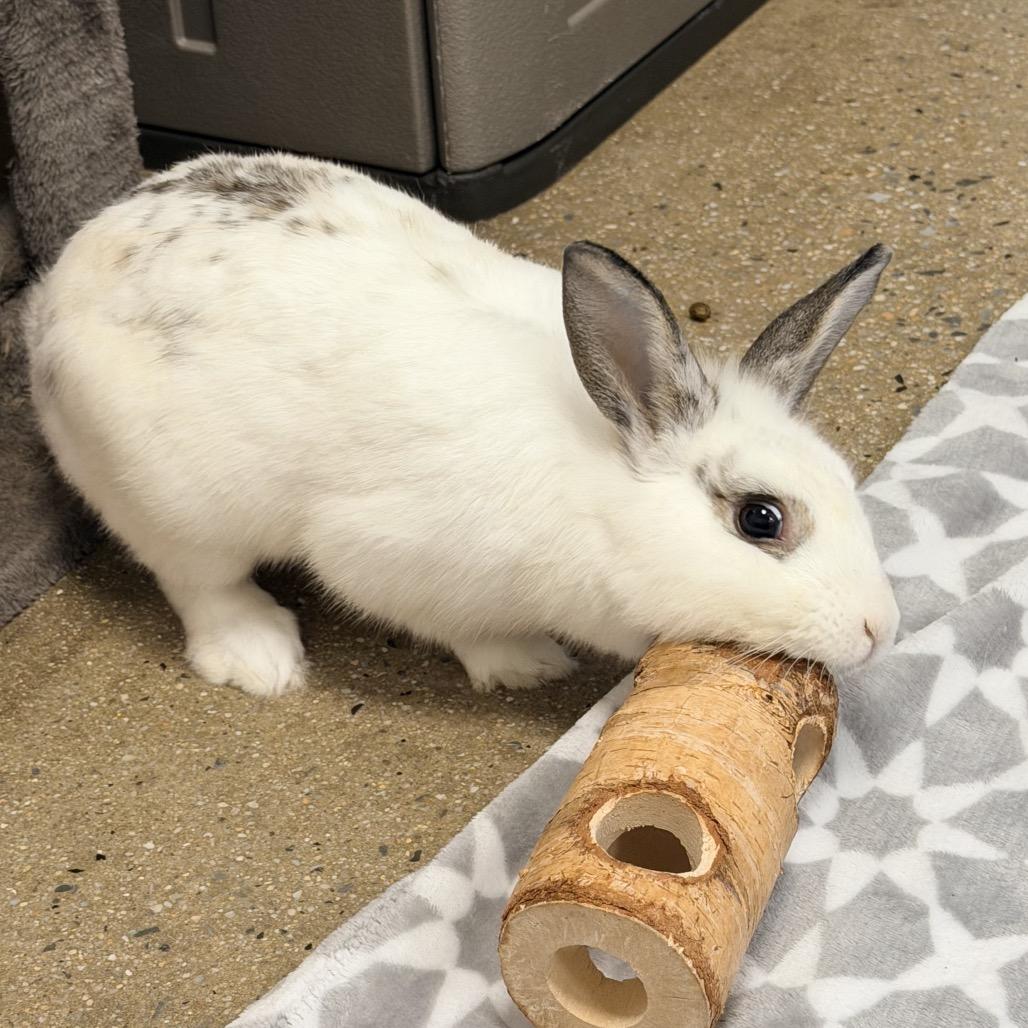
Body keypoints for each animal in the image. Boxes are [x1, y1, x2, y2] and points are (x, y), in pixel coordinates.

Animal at [25, 151, 900, 697]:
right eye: (761, 518)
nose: (879, 629)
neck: (599, 494)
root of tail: (53, 294)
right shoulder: (387, 560)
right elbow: (460, 628)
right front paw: (528, 665)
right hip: (173, 504)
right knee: (200, 583)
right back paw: (262, 659)